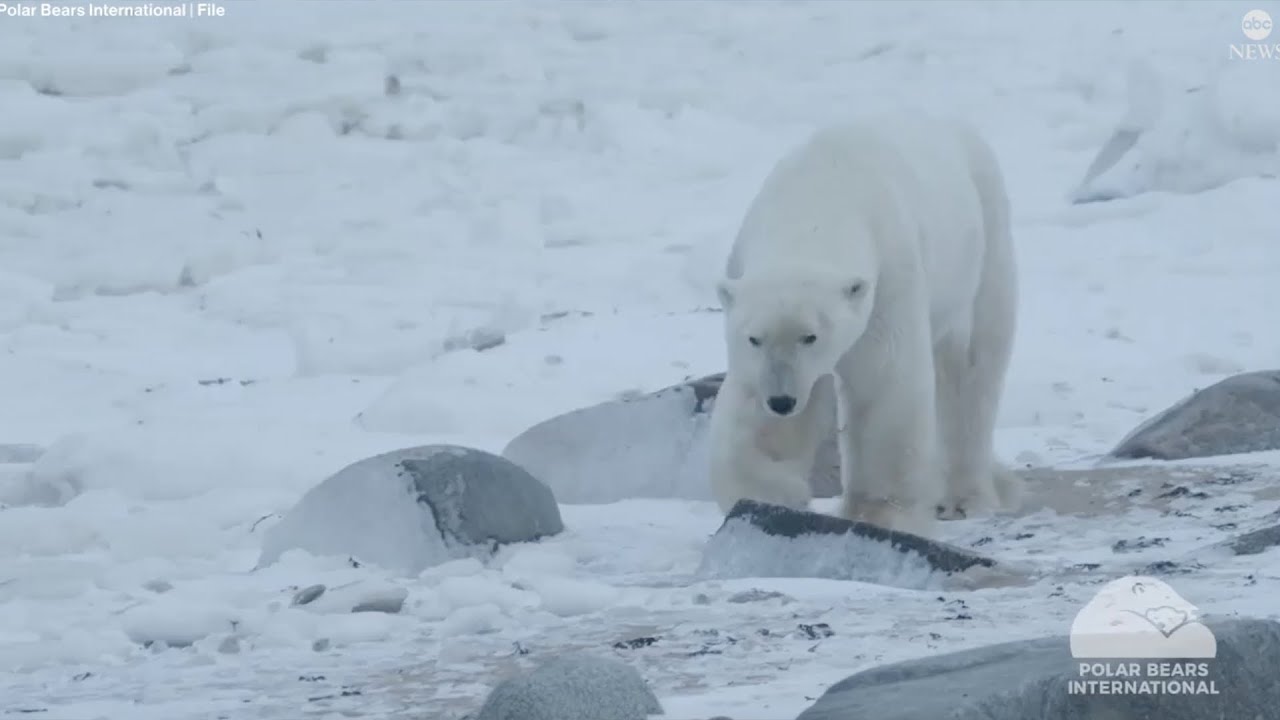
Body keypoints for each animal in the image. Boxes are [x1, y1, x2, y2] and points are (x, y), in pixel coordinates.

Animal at [708, 112, 1020, 537]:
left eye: (810, 336)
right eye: (754, 338)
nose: (783, 400)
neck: (818, 196)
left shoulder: (890, 277)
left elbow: (884, 384)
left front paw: (881, 513)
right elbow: (756, 411)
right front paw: (770, 494)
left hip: (984, 242)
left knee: (973, 367)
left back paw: (964, 498)